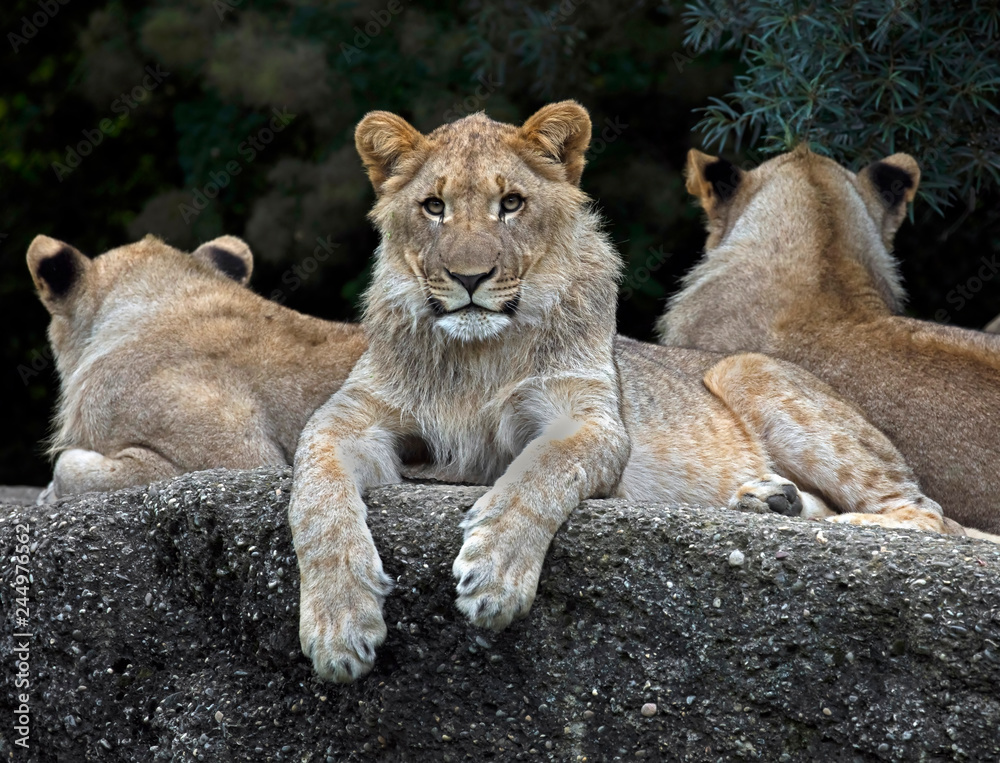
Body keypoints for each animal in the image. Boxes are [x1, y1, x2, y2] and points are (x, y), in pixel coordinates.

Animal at [288, 102, 960, 684]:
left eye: (512, 204)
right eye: (433, 206)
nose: (470, 278)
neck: (475, 355)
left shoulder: (589, 418)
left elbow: (541, 473)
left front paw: (495, 571)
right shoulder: (345, 420)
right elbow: (314, 500)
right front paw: (338, 625)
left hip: (748, 371)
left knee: (929, 513)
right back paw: (769, 501)